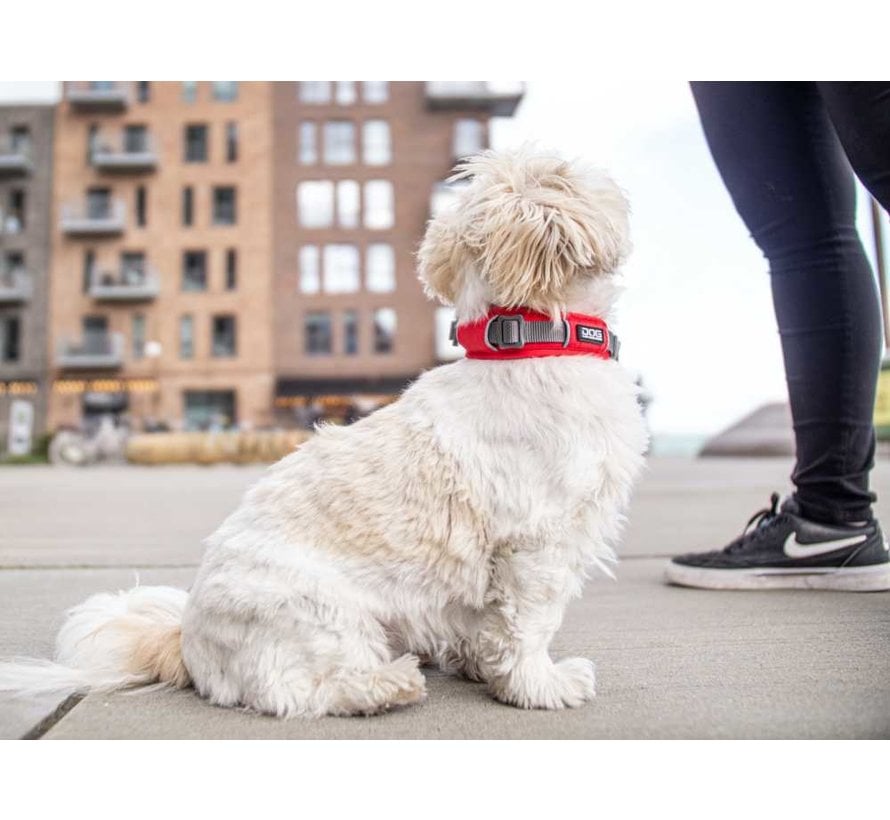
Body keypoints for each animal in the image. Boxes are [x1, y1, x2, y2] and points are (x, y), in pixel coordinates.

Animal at [0, 147, 644, 716]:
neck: (527, 340)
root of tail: (186, 639)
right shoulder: (539, 543)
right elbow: (530, 624)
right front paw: (540, 685)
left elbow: (487, 627)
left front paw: (480, 667)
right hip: (325, 615)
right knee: (298, 692)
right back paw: (388, 685)